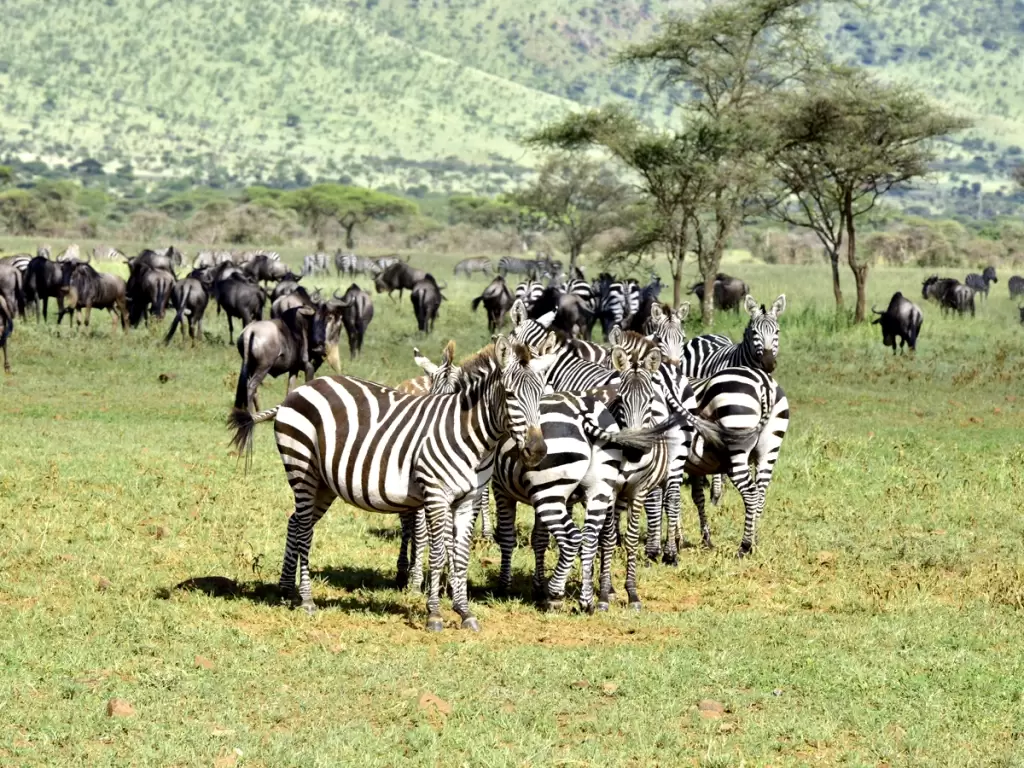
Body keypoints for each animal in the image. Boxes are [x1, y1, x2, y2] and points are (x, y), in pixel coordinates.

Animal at [227, 333, 559, 631]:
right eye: (510, 395)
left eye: (542, 396)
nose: (537, 450)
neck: (470, 435)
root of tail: (298, 393)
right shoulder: (436, 494)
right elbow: (437, 552)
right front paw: (434, 614)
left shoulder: (469, 498)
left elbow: (461, 555)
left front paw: (464, 612)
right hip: (302, 468)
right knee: (305, 530)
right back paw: (307, 599)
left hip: (323, 483)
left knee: (296, 522)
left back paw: (286, 590)